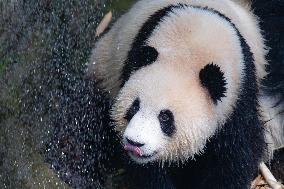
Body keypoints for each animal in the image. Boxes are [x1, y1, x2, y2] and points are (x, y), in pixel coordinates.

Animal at [86, 0, 284, 188]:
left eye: (165, 117)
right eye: (134, 107)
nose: (135, 143)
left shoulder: (238, 95)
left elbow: (234, 155)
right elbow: (148, 171)